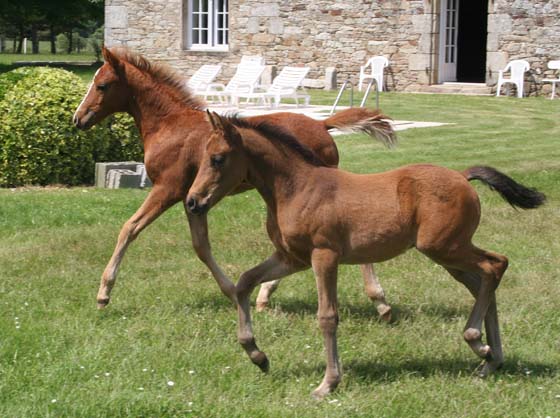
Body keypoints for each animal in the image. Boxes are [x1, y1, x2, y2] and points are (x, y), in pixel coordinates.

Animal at [73, 46, 394, 316]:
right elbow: (201, 246)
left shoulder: (168, 188)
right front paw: (232, 291)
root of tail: (321, 123)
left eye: (101, 85)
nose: (78, 118)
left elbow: (130, 228)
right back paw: (267, 295)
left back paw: (379, 301)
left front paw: (104, 293)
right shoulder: (193, 199)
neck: (169, 125)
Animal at [186, 112, 544, 400]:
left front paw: (327, 384)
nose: (192, 201)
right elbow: (244, 282)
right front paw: (257, 355)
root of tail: (462, 176)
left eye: (217, 158)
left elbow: (327, 317)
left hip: (444, 247)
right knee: (483, 281)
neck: (297, 188)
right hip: (447, 255)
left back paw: (478, 343)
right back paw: (490, 359)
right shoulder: (292, 258)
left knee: (496, 264)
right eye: (204, 157)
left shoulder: (324, 256)